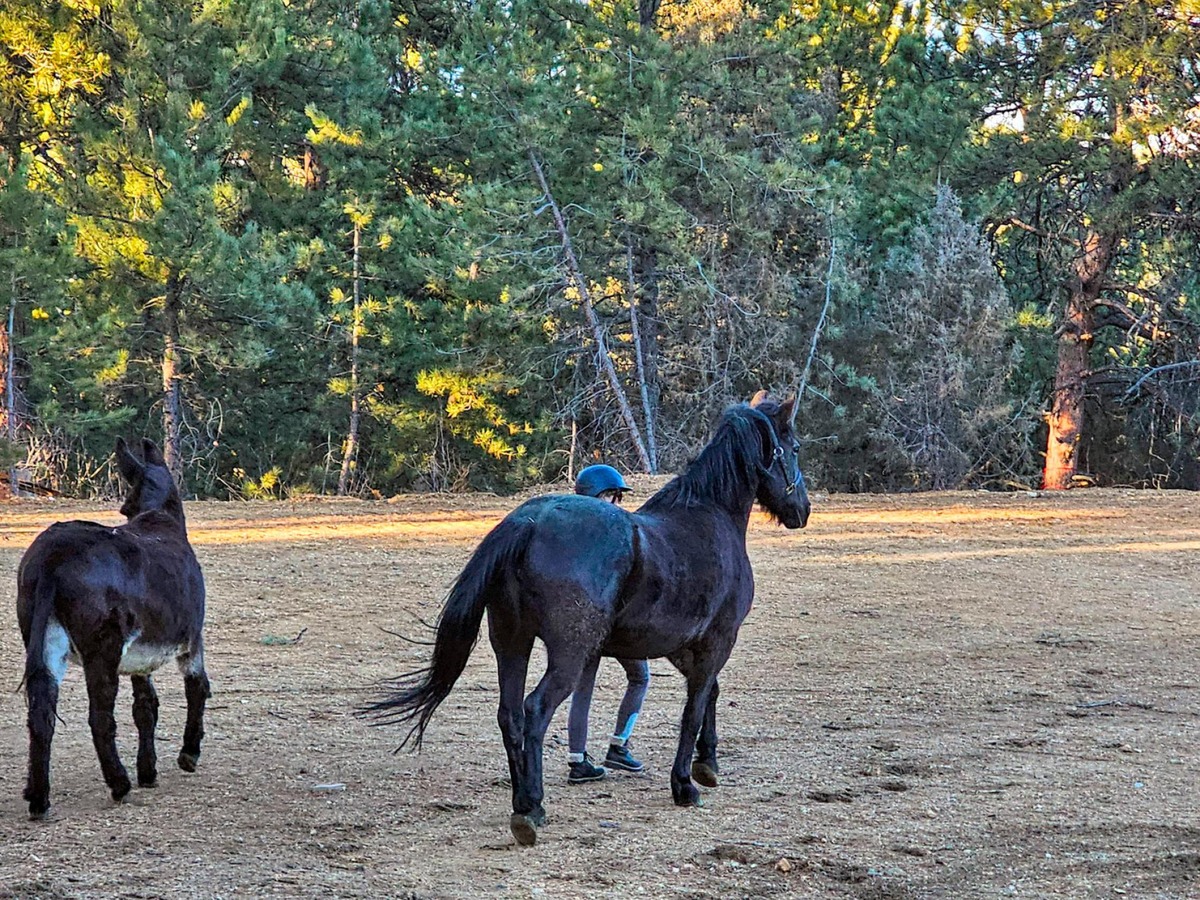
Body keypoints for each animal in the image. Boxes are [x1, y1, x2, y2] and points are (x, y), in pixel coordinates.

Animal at [17, 441, 208, 820]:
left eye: (125, 507)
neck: (159, 518)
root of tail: (52, 555)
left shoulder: (140, 658)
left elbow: (146, 707)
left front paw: (148, 771)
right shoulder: (192, 640)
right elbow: (197, 688)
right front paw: (188, 754)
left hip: (44, 642)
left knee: (41, 714)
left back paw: (38, 798)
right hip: (102, 648)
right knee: (99, 718)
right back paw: (119, 784)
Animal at [369, 393, 811, 844]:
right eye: (794, 448)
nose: (803, 510)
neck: (709, 516)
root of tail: (527, 523)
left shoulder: (681, 646)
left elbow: (710, 695)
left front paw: (707, 763)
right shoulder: (717, 640)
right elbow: (694, 707)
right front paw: (685, 783)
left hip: (511, 644)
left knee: (510, 716)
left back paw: (523, 800)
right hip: (567, 655)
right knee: (535, 711)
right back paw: (531, 807)